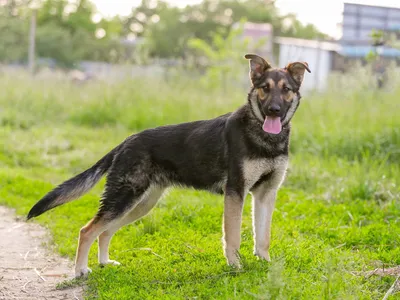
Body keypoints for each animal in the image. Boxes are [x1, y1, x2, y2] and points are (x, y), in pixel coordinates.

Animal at [26, 53, 310, 276]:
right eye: (265, 87)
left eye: (286, 89)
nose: (274, 110)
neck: (264, 138)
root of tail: (126, 141)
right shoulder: (235, 193)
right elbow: (232, 236)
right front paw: (235, 267)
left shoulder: (265, 195)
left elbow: (263, 236)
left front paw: (265, 264)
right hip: (125, 198)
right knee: (87, 230)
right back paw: (80, 271)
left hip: (141, 204)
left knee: (105, 231)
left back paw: (105, 263)